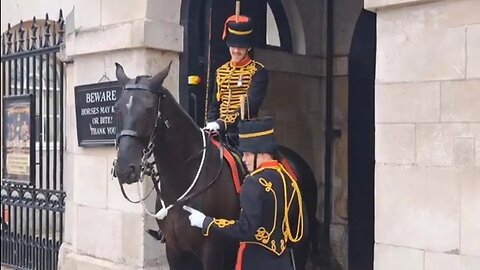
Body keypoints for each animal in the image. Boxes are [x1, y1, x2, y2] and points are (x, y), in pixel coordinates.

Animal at [113, 62, 318, 270]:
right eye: (117, 108)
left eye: (149, 109)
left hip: (298, 242)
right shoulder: (174, 250)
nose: (124, 169)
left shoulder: (212, 251)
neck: (184, 177)